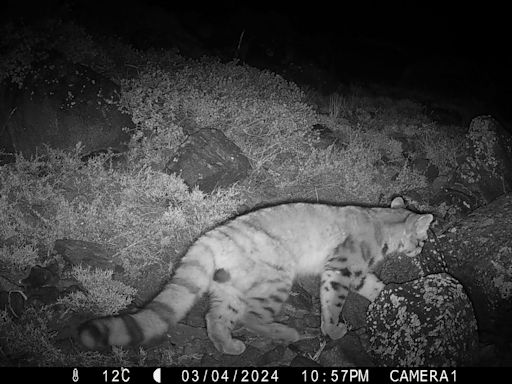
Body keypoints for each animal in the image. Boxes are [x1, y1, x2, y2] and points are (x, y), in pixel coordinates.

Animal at [79, 196, 432, 356]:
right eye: (423, 239)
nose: (422, 250)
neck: (379, 224)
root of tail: (209, 236)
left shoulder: (357, 273)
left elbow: (375, 286)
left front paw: (390, 296)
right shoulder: (341, 269)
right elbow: (333, 303)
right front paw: (334, 329)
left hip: (229, 289)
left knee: (215, 317)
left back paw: (229, 346)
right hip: (277, 277)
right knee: (251, 316)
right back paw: (286, 333)